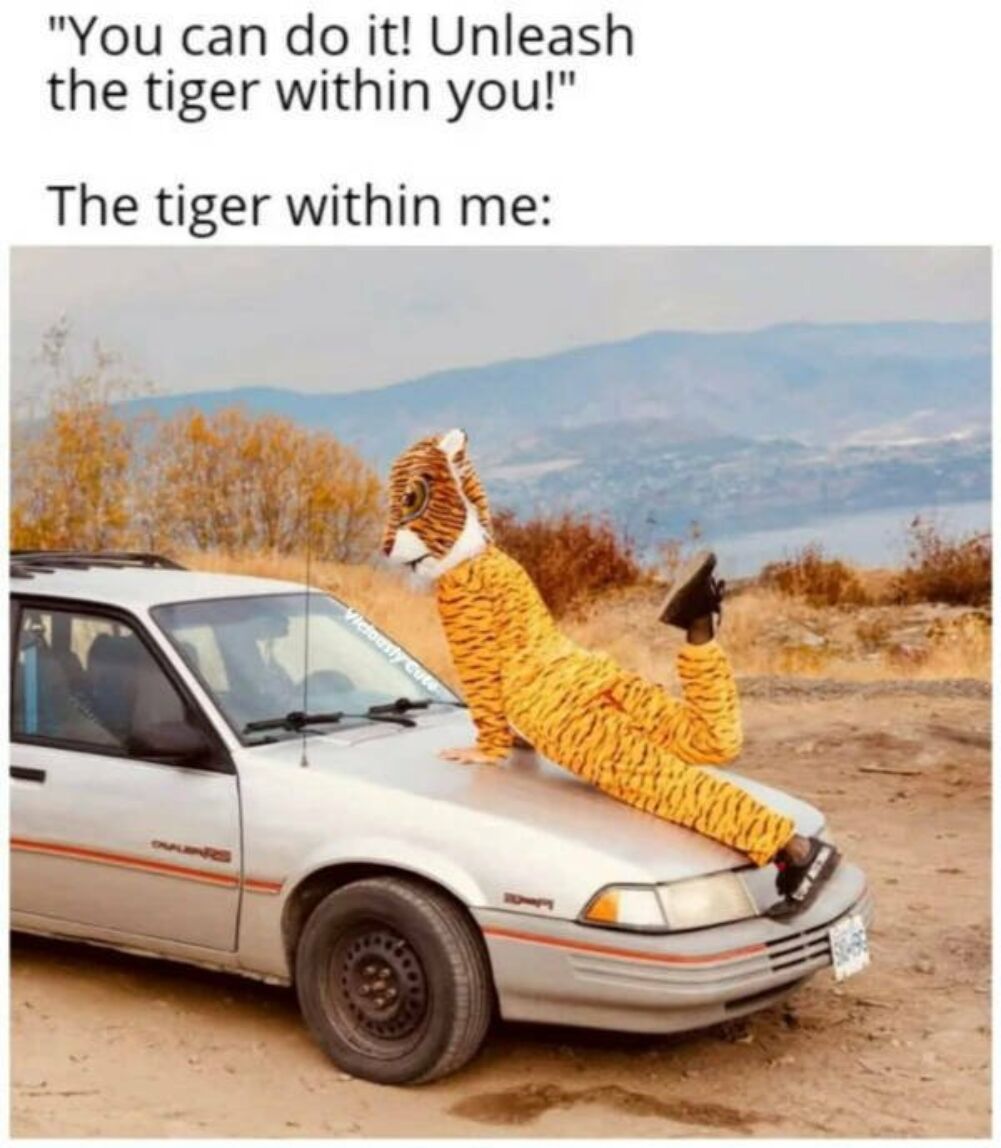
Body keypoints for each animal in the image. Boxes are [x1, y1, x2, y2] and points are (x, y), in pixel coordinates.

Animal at [382, 427, 796, 866]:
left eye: (410, 498)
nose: (385, 546)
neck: (477, 552)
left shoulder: (462, 599)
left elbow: (484, 687)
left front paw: (486, 750)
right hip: (629, 697)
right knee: (714, 739)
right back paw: (694, 595)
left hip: (579, 730)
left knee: (658, 778)